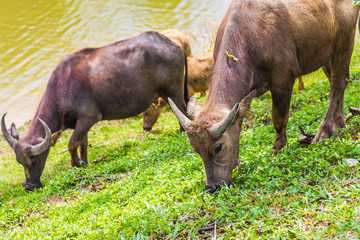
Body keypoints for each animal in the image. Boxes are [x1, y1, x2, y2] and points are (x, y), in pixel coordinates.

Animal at [2, 31, 188, 190]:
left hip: (173, 91)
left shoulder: (89, 118)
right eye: (19, 162)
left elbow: (72, 144)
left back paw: (183, 133)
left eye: (34, 160)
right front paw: (84, 164)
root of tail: (172, 44)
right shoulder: (81, 123)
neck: (62, 90)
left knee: (183, 111)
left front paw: (76, 165)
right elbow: (82, 144)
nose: (29, 186)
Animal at [169, 0, 360, 191]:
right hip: (325, 53)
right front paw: (236, 162)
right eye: (195, 149)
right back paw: (339, 123)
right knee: (341, 82)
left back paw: (324, 131)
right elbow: (239, 122)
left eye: (218, 147)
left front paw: (278, 151)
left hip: (344, 41)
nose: (212, 187)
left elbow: (279, 119)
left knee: (337, 84)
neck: (249, 37)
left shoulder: (283, 81)